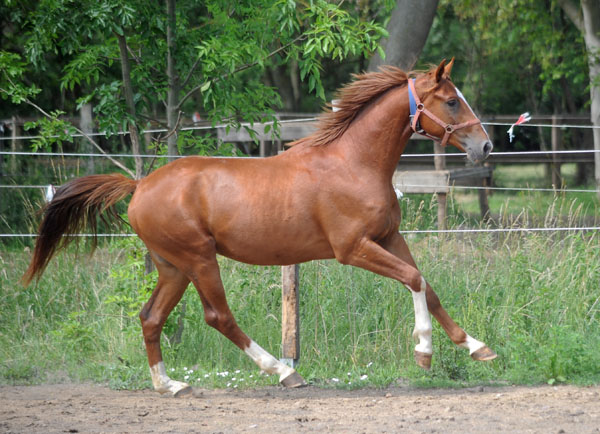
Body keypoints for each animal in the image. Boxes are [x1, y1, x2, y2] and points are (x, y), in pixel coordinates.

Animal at [23, 60, 496, 396]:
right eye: (451, 101)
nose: (486, 146)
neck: (353, 162)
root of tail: (139, 186)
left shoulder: (387, 237)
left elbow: (427, 286)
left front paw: (476, 347)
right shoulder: (353, 248)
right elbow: (414, 279)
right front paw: (424, 352)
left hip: (173, 266)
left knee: (150, 317)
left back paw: (170, 385)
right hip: (199, 258)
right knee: (218, 316)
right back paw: (283, 372)